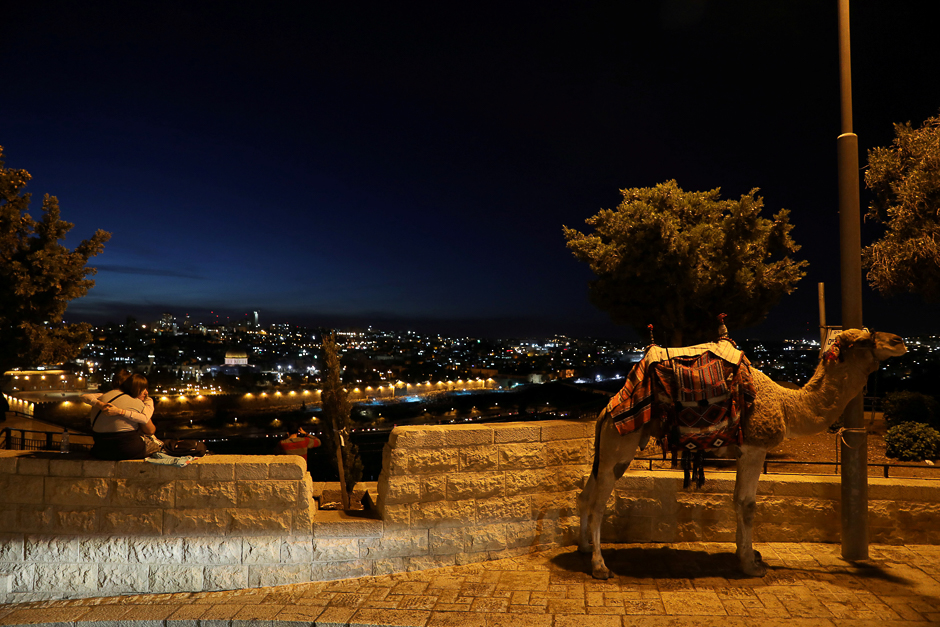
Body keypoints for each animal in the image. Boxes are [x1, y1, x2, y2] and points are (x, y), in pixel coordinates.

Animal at [576, 328, 908, 580]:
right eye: (863, 340)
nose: (898, 341)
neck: (788, 406)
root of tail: (606, 411)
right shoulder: (755, 448)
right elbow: (747, 505)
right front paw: (751, 565)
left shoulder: (742, 452)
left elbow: (737, 501)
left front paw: (745, 554)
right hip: (621, 443)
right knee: (598, 502)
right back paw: (600, 567)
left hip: (608, 452)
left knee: (585, 494)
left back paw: (583, 548)